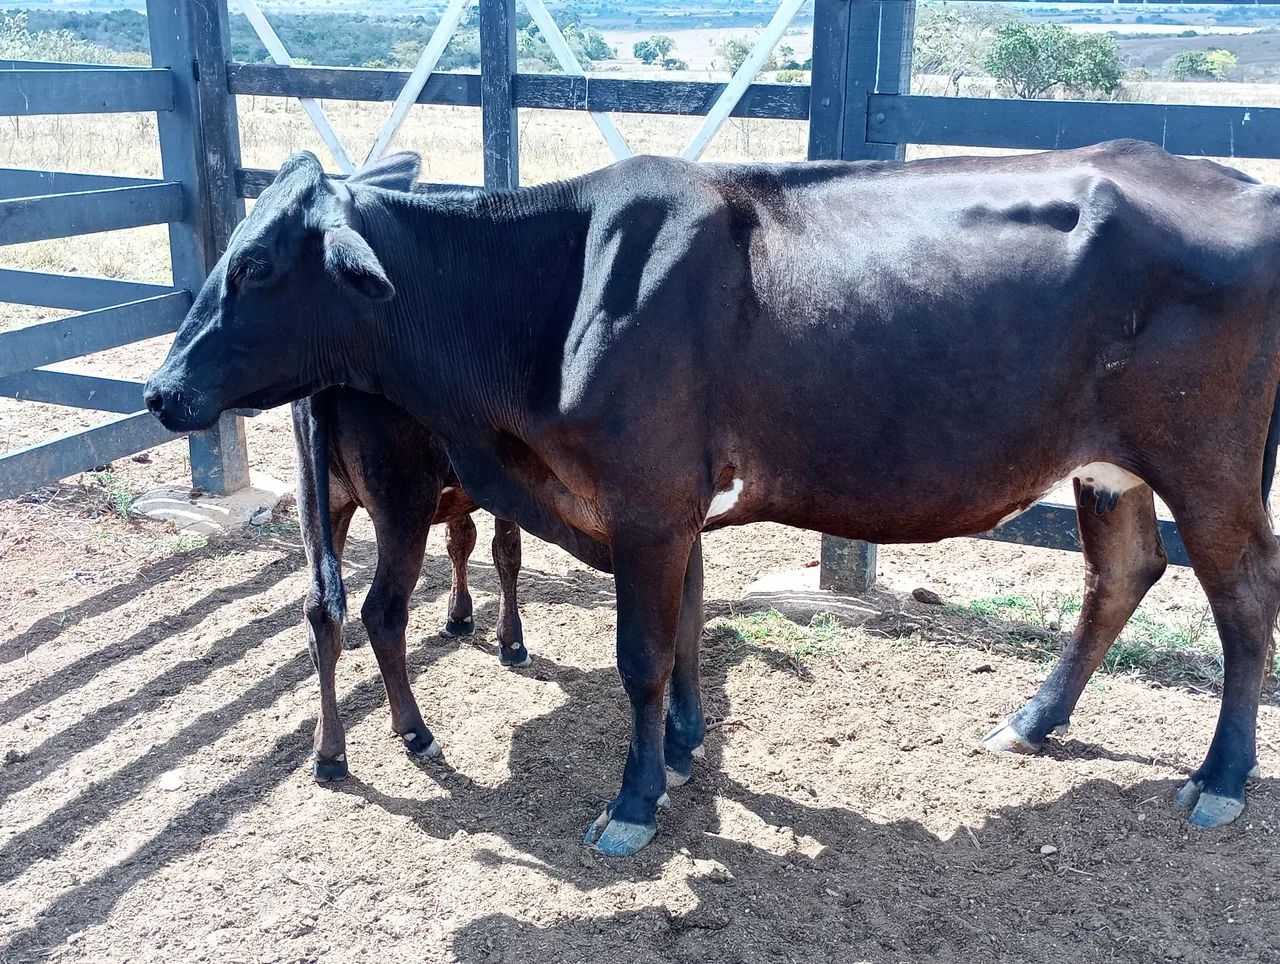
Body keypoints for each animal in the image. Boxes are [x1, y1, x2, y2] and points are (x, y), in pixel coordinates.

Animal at [294, 385, 528, 784]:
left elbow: (461, 538)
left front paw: (459, 616)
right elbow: (507, 552)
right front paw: (511, 641)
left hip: (317, 498)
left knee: (320, 613)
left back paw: (328, 750)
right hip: (404, 505)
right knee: (382, 614)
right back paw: (415, 730)